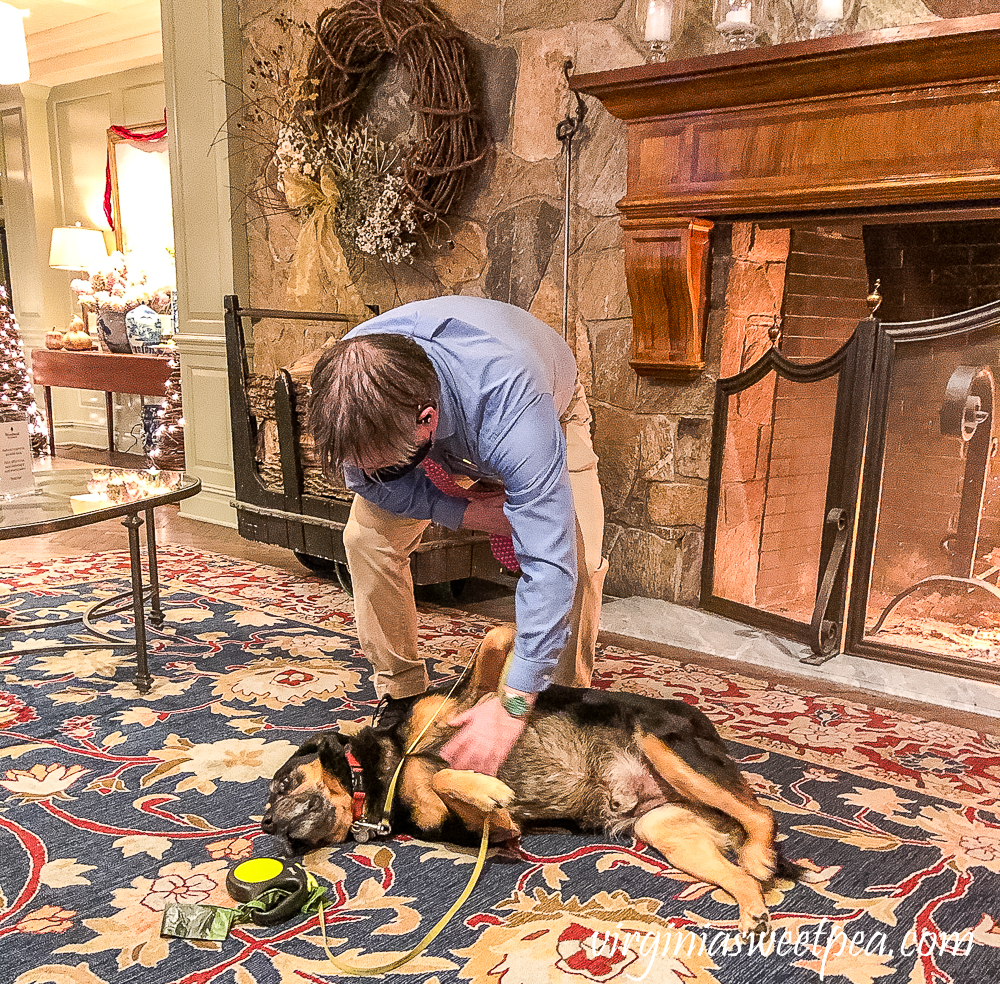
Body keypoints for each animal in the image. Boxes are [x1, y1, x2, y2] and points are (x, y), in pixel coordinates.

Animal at [260, 624, 804, 932]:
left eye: (280, 786)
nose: (269, 827)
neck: (380, 770)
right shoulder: (497, 828)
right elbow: (446, 782)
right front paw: (486, 787)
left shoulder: (468, 702)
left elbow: (496, 637)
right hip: (667, 827)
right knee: (741, 865)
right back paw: (752, 907)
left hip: (664, 747)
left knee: (763, 814)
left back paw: (759, 855)